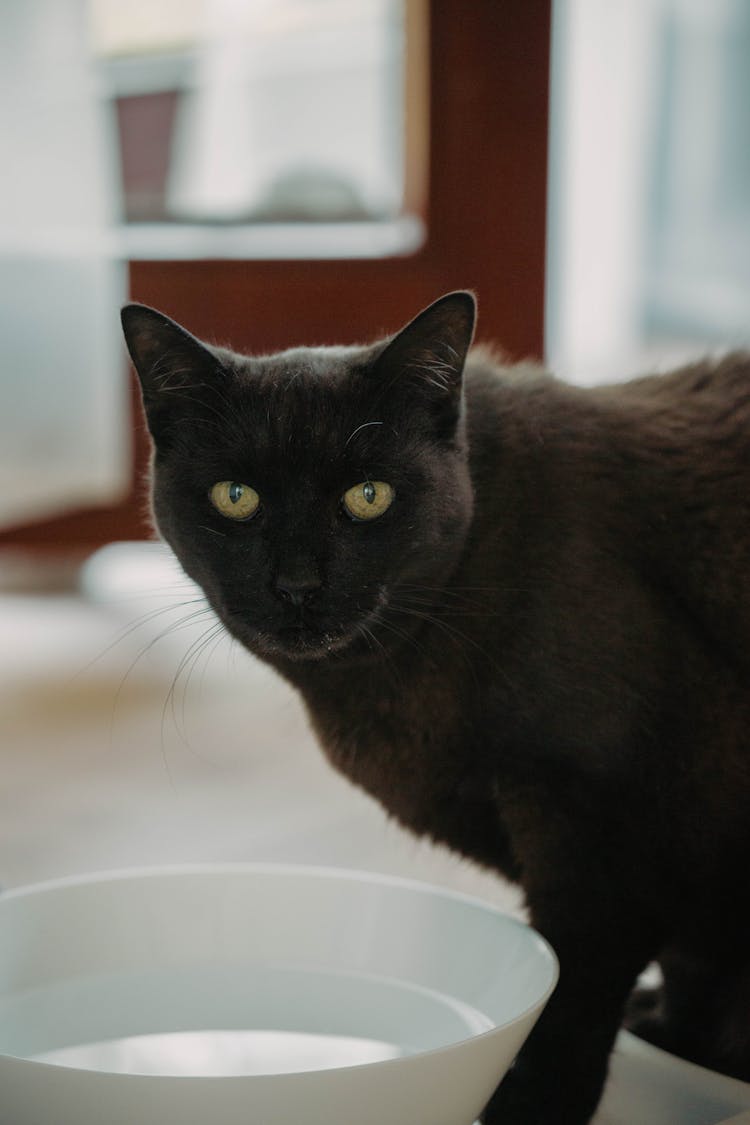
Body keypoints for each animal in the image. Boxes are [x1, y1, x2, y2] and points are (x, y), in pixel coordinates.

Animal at [120, 294, 750, 1120]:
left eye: (368, 497)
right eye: (236, 497)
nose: (297, 584)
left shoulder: (609, 851)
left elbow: (570, 1010)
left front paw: (529, 1104)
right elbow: (685, 977)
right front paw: (681, 1040)